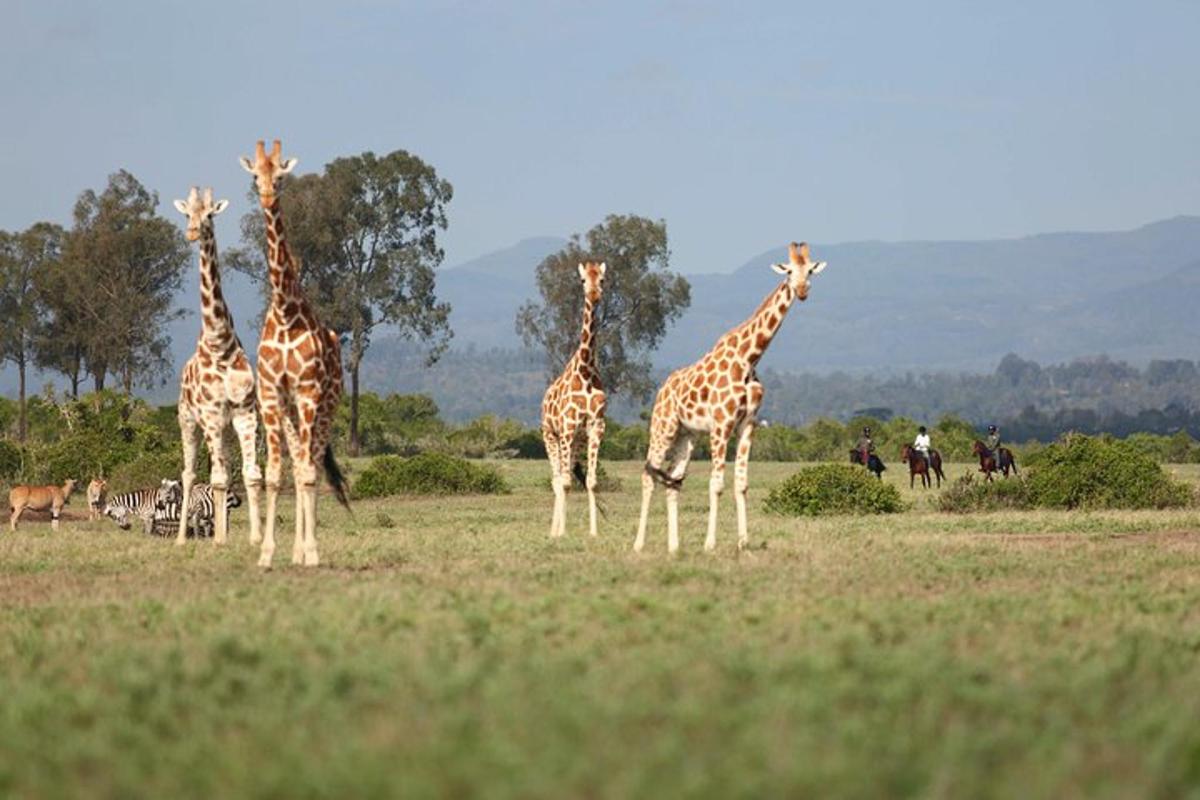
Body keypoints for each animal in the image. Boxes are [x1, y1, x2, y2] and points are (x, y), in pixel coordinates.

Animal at [169, 188, 260, 546]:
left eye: (210, 214)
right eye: (186, 214)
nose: (193, 232)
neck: (220, 342)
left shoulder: (245, 413)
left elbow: (250, 474)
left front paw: (256, 538)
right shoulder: (208, 414)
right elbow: (218, 478)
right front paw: (220, 539)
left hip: (223, 427)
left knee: (218, 470)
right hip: (189, 420)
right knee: (191, 472)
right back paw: (183, 538)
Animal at [238, 139, 350, 568]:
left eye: (281, 175)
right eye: (256, 175)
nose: (268, 194)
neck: (286, 313)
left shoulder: (307, 394)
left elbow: (306, 473)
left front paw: (312, 552)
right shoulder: (271, 396)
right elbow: (274, 475)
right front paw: (268, 554)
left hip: (325, 407)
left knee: (311, 465)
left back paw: (307, 551)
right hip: (289, 413)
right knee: (301, 461)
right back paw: (297, 550)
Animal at [638, 244, 825, 554]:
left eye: (810, 270)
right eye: (788, 271)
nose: (801, 291)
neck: (749, 358)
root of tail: (662, 390)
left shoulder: (747, 425)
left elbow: (741, 484)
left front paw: (743, 541)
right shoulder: (721, 425)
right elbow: (716, 485)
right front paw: (710, 544)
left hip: (686, 436)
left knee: (673, 482)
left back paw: (674, 547)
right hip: (663, 427)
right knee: (649, 475)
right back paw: (638, 544)